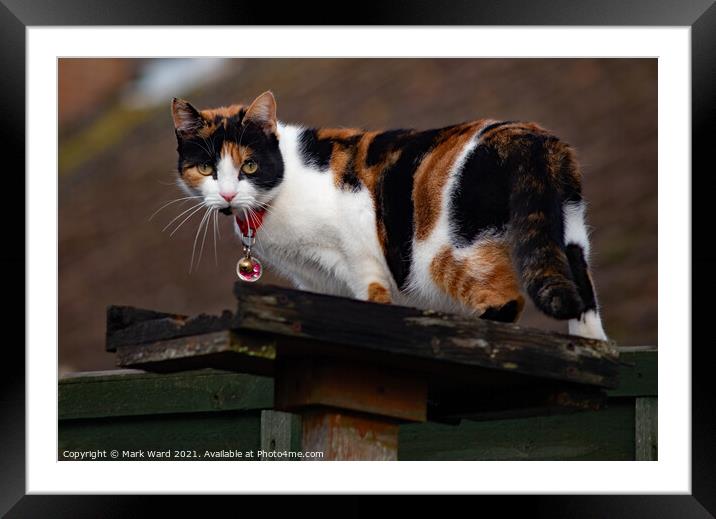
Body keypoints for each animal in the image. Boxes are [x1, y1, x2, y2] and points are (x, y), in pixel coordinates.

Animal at [171, 89, 608, 342]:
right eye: (207, 169)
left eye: (248, 166)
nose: (228, 194)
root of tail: (525, 134)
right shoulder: (317, 282)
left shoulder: (362, 263)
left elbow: (373, 302)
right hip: (567, 231)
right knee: (582, 295)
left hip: (446, 252)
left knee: (506, 299)